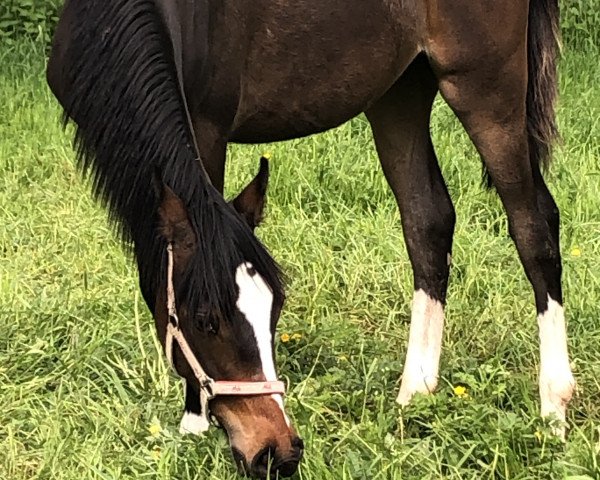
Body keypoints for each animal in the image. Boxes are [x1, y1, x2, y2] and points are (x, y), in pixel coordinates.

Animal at [47, 0, 572, 478]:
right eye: (205, 320)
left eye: (275, 309)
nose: (278, 453)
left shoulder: (208, 126)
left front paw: (193, 423)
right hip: (399, 93)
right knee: (428, 222)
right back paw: (415, 393)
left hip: (485, 89)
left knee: (533, 225)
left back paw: (554, 408)